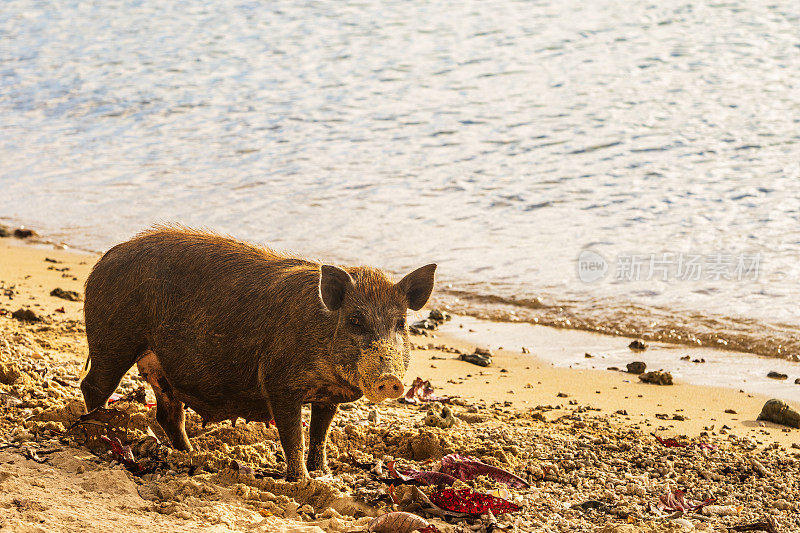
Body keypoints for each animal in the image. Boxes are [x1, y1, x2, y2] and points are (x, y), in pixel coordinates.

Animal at [79, 224, 438, 478]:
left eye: (400, 323)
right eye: (355, 320)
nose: (391, 380)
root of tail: (105, 257)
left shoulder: (327, 396)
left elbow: (319, 434)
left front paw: (324, 473)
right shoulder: (280, 385)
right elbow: (294, 437)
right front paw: (302, 480)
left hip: (158, 366)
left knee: (168, 414)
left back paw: (191, 455)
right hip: (111, 342)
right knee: (92, 386)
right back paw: (95, 435)